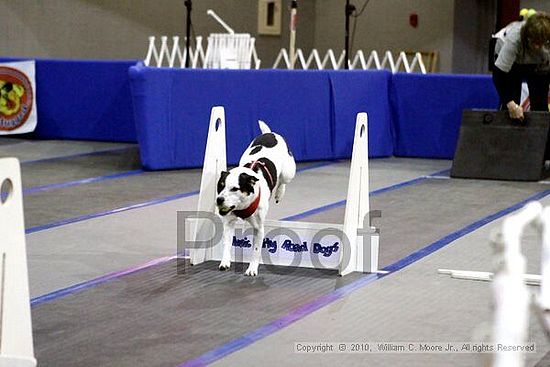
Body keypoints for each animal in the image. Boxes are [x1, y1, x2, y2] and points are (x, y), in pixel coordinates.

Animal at [216, 121, 298, 276]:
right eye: (220, 186)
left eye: (234, 189)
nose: (219, 200)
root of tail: (270, 133)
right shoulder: (229, 222)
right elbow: (226, 243)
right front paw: (225, 262)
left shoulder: (259, 228)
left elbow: (255, 250)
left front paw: (252, 269)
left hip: (288, 172)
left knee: (283, 181)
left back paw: (279, 193)